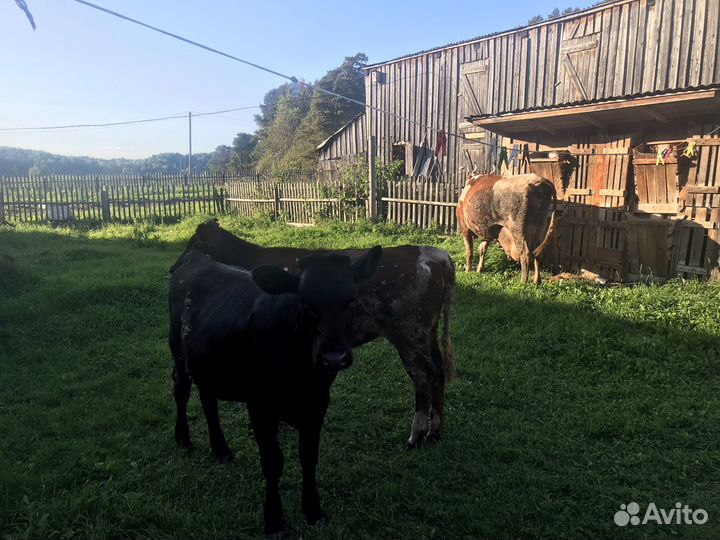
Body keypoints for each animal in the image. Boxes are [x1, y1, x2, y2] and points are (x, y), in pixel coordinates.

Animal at [170, 220, 455, 447]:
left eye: (192, 243)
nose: (173, 268)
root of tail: (436, 255)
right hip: (427, 333)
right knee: (439, 370)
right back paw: (436, 430)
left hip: (409, 334)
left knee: (423, 376)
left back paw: (416, 436)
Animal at [170, 247, 382, 538]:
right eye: (305, 304)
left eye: (351, 301)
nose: (334, 358)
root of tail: (196, 257)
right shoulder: (260, 406)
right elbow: (272, 462)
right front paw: (274, 521)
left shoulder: (318, 404)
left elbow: (309, 457)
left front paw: (314, 511)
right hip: (177, 351)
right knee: (181, 391)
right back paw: (183, 439)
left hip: (206, 359)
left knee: (208, 400)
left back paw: (222, 450)